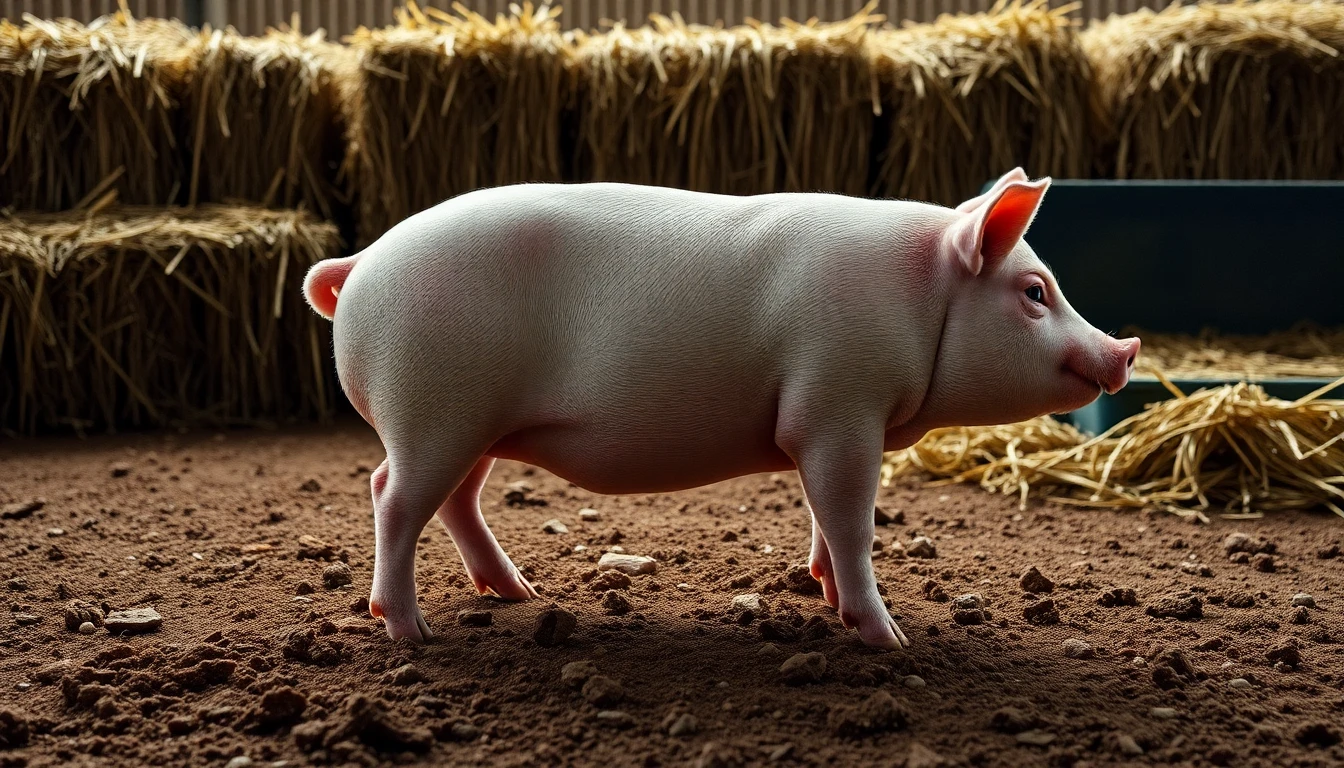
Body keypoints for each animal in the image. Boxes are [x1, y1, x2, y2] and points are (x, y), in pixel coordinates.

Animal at [302, 167, 1139, 649]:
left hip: (473, 426)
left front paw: (821, 588)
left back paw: (519, 593)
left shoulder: (827, 422)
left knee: (455, 501)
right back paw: (410, 633)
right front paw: (889, 639)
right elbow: (853, 522)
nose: (1125, 348)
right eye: (1034, 293)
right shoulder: (837, 405)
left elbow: (824, 518)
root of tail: (361, 262)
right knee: (390, 495)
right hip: (430, 410)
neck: (920, 297)